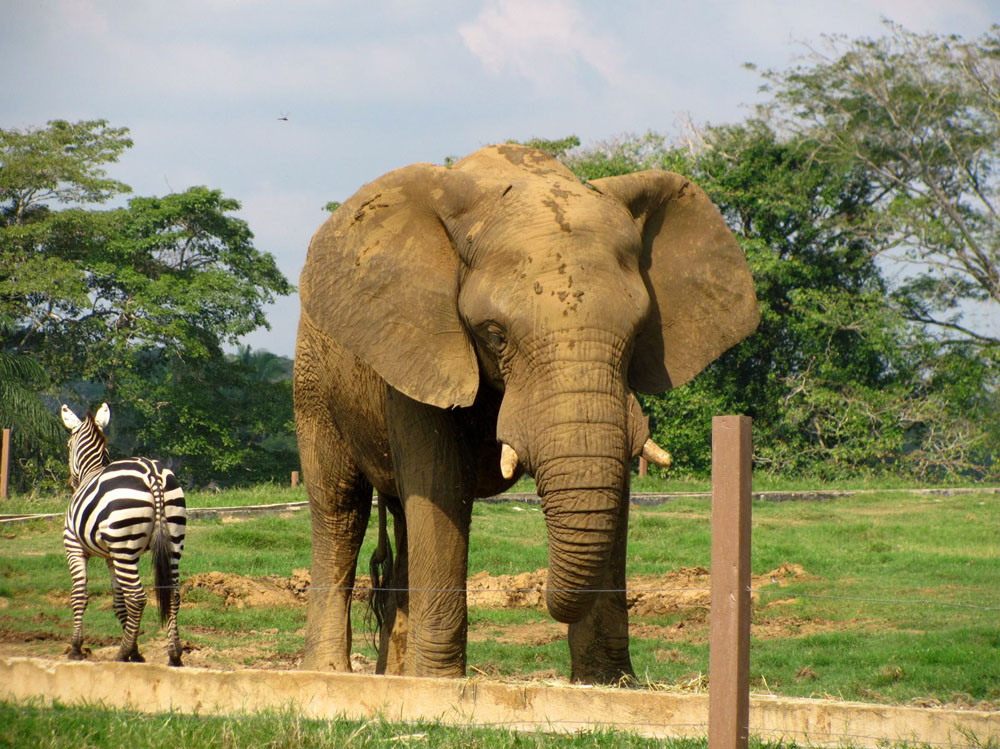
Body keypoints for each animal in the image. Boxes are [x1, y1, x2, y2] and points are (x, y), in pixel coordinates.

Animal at [60, 404, 188, 668]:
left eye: (68, 445)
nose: (71, 483)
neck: (92, 469)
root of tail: (153, 473)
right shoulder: (111, 557)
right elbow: (119, 603)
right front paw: (136, 651)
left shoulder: (74, 545)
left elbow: (79, 595)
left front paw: (76, 648)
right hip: (170, 540)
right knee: (173, 594)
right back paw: (174, 654)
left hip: (124, 547)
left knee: (138, 598)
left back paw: (121, 652)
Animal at [292, 142, 756, 684]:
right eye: (495, 335)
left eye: (640, 330)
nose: (541, 595)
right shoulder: (419, 348)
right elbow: (440, 481)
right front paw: (439, 685)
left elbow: (613, 488)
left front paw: (605, 684)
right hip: (313, 378)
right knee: (339, 509)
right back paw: (331, 673)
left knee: (402, 517)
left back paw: (395, 676)